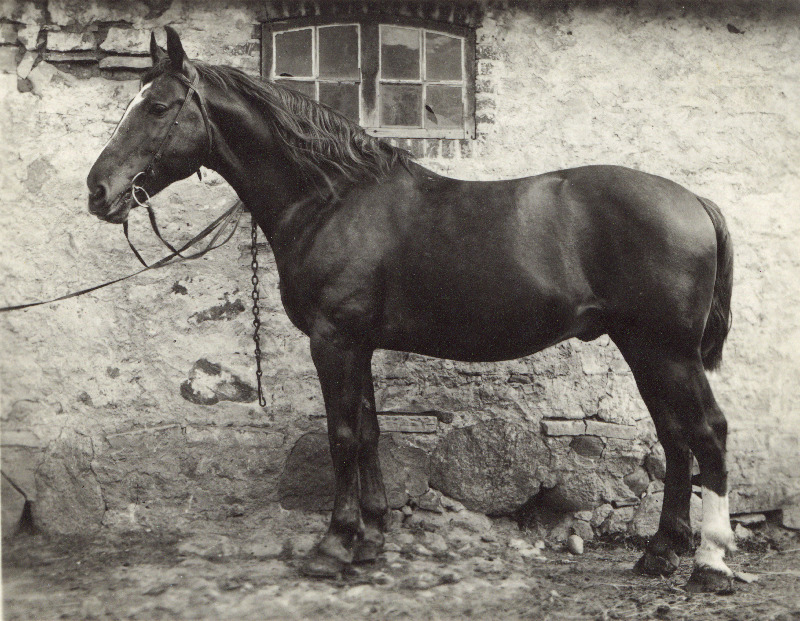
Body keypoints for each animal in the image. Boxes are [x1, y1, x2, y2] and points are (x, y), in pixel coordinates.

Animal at [87, 27, 736, 592]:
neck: (332, 200)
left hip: (667, 350)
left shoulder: (334, 340)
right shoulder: (358, 344)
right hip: (643, 347)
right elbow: (371, 432)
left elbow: (343, 436)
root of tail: (692, 200)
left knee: (708, 432)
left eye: (158, 107)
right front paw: (371, 540)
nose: (97, 191)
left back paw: (711, 564)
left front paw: (334, 546)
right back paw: (659, 554)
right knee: (675, 437)